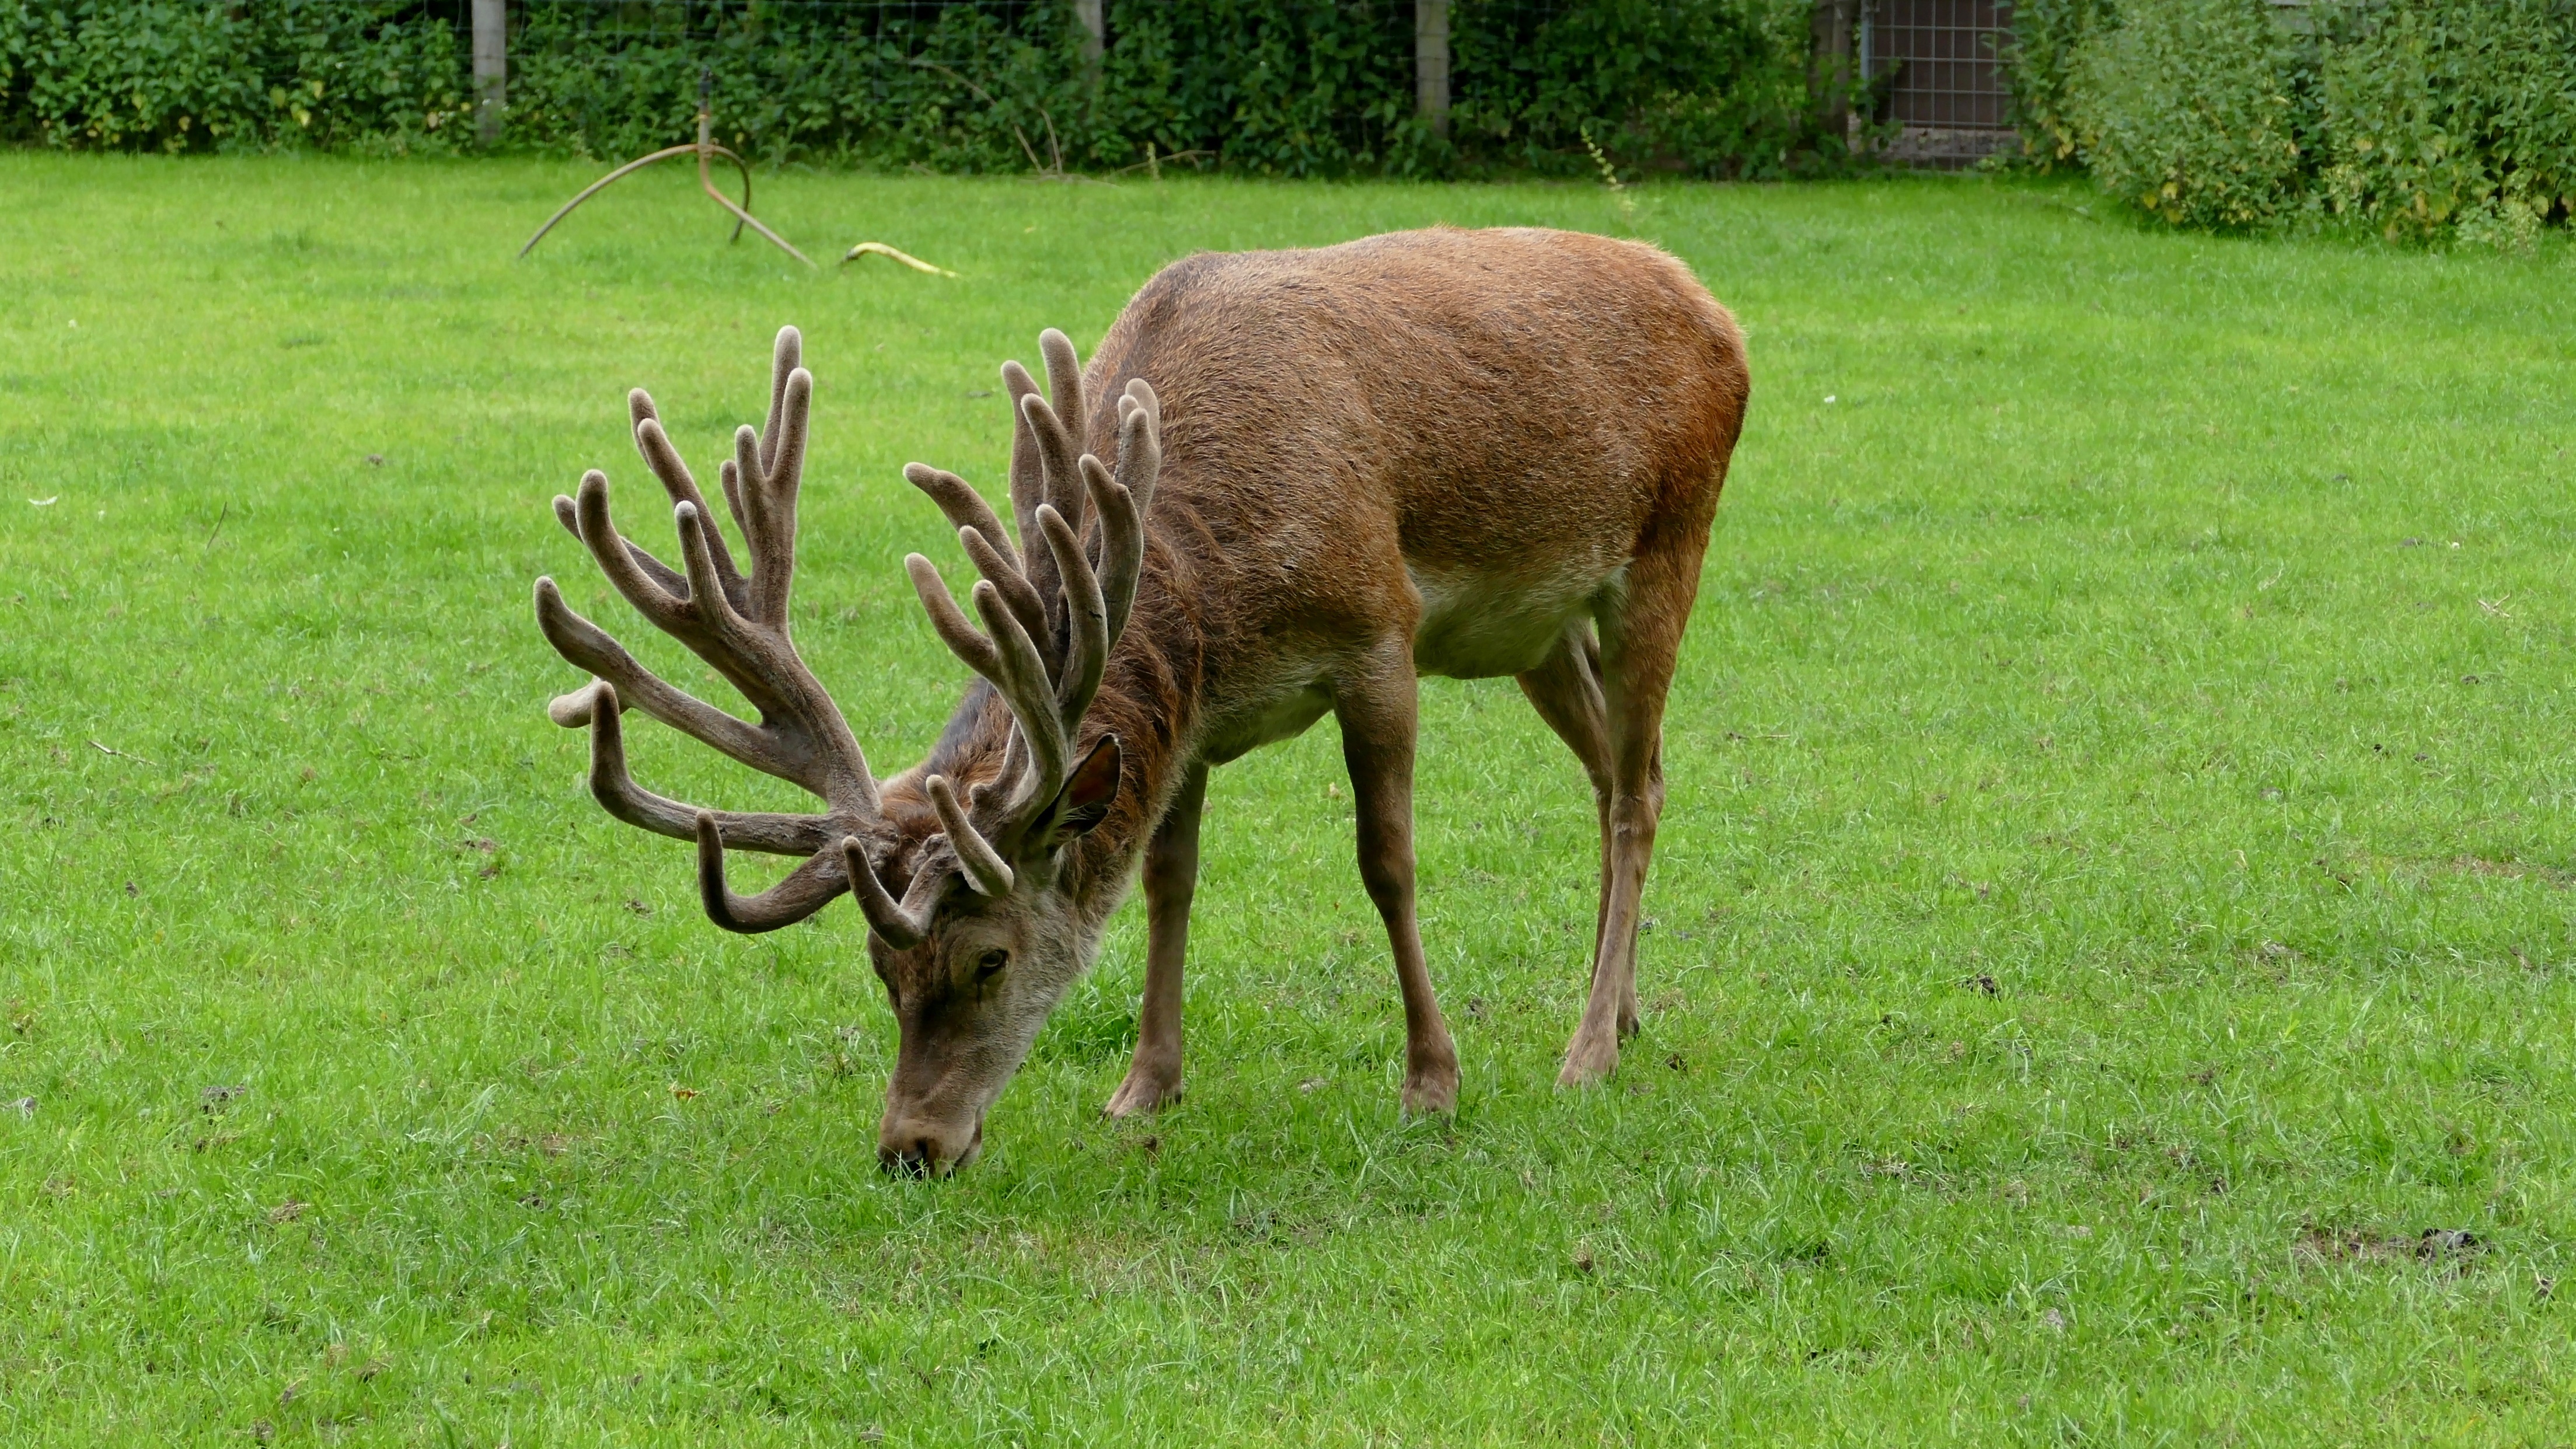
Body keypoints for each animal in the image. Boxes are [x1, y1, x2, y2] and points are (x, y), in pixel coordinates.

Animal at [538, 229, 1751, 1178]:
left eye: (988, 958)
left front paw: (1430, 1080)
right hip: (1536, 631)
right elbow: (1169, 877)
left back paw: (1587, 1051)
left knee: (1636, 787)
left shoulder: (1378, 633)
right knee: (1619, 770)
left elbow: (1386, 861)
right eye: (881, 969)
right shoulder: (1195, 713)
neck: (1204, 578)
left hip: (1669, 542)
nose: (910, 1148)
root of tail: (1711, 303)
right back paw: (1620, 1007)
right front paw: (1144, 1084)